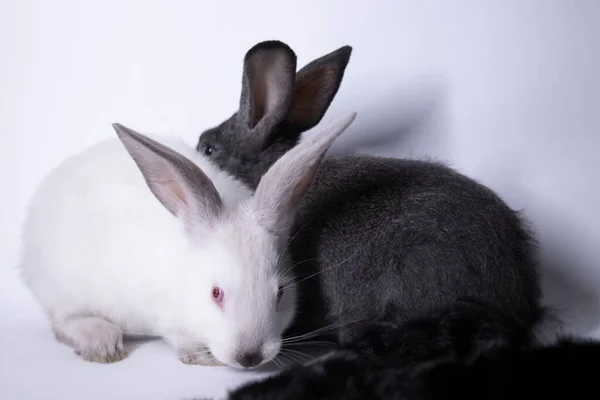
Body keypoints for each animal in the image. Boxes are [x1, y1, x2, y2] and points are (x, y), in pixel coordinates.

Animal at [17, 112, 356, 368]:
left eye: (281, 293)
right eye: (216, 294)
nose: (249, 357)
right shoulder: (165, 317)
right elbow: (180, 337)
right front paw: (202, 357)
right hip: (63, 289)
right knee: (62, 321)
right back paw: (102, 342)